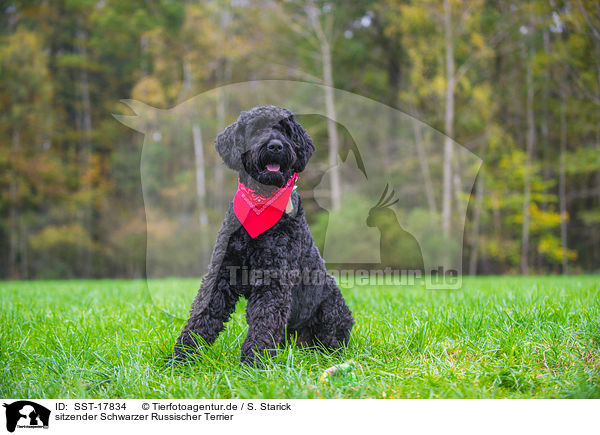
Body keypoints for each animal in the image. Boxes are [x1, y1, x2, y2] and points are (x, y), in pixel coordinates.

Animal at [171, 106, 354, 368]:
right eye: (256, 129)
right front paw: (182, 357)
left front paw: (254, 362)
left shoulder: (273, 277)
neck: (260, 202)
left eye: (286, 131)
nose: (276, 146)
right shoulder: (221, 272)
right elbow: (202, 315)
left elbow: (264, 321)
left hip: (331, 308)